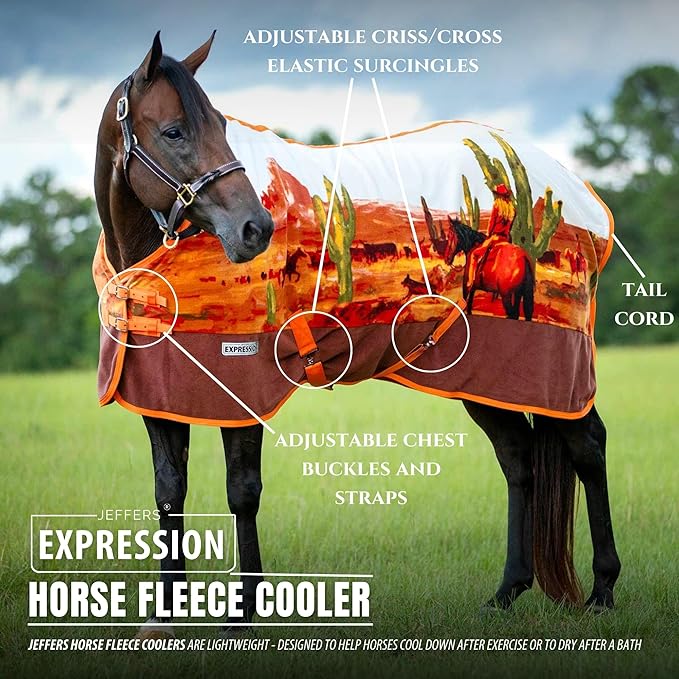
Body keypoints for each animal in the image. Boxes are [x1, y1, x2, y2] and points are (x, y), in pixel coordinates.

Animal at [95, 33, 621, 638]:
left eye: (221, 127)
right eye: (174, 131)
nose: (255, 229)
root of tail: (581, 195)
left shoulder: (242, 390)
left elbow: (242, 492)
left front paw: (242, 616)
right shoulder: (161, 397)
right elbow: (169, 495)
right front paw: (164, 616)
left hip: (552, 367)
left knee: (587, 448)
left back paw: (603, 590)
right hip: (483, 375)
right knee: (518, 459)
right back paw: (507, 591)